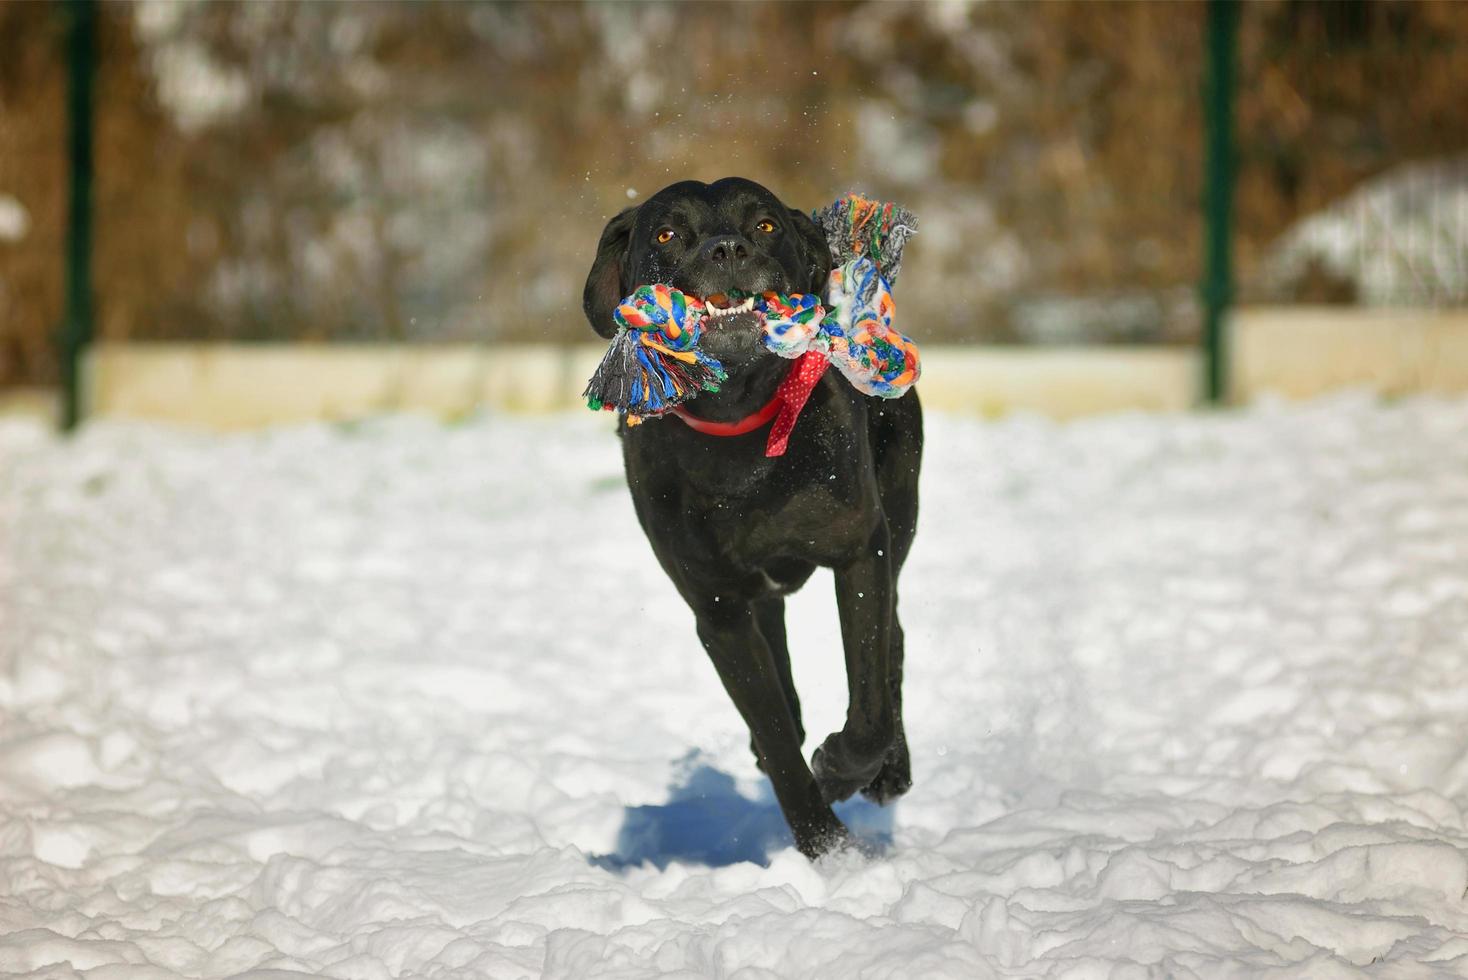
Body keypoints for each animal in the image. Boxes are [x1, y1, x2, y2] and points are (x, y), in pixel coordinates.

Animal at [581, 178, 916, 856]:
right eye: (666, 232)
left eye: (764, 225)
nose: (728, 249)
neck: (739, 441)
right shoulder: (719, 607)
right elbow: (777, 734)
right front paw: (826, 847)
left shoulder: (860, 548)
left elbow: (869, 695)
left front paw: (838, 771)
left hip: (900, 512)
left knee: (893, 644)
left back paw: (890, 770)